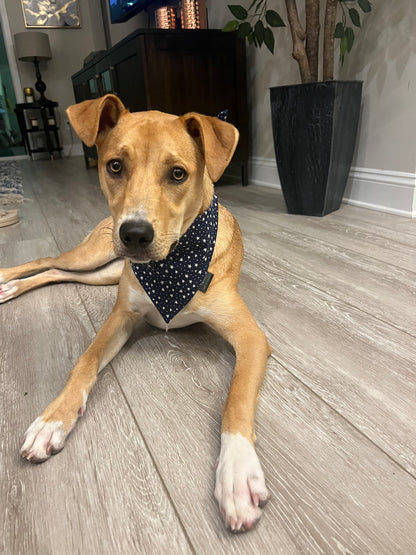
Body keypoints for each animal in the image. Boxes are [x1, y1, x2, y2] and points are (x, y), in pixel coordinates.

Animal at [0, 95, 272, 536]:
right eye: (115, 166)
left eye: (178, 173)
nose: (135, 234)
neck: (173, 264)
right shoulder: (121, 317)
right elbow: (84, 361)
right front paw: (52, 420)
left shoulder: (250, 337)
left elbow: (236, 398)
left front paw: (236, 473)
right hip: (97, 254)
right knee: (48, 261)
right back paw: (5, 280)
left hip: (105, 271)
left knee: (58, 272)